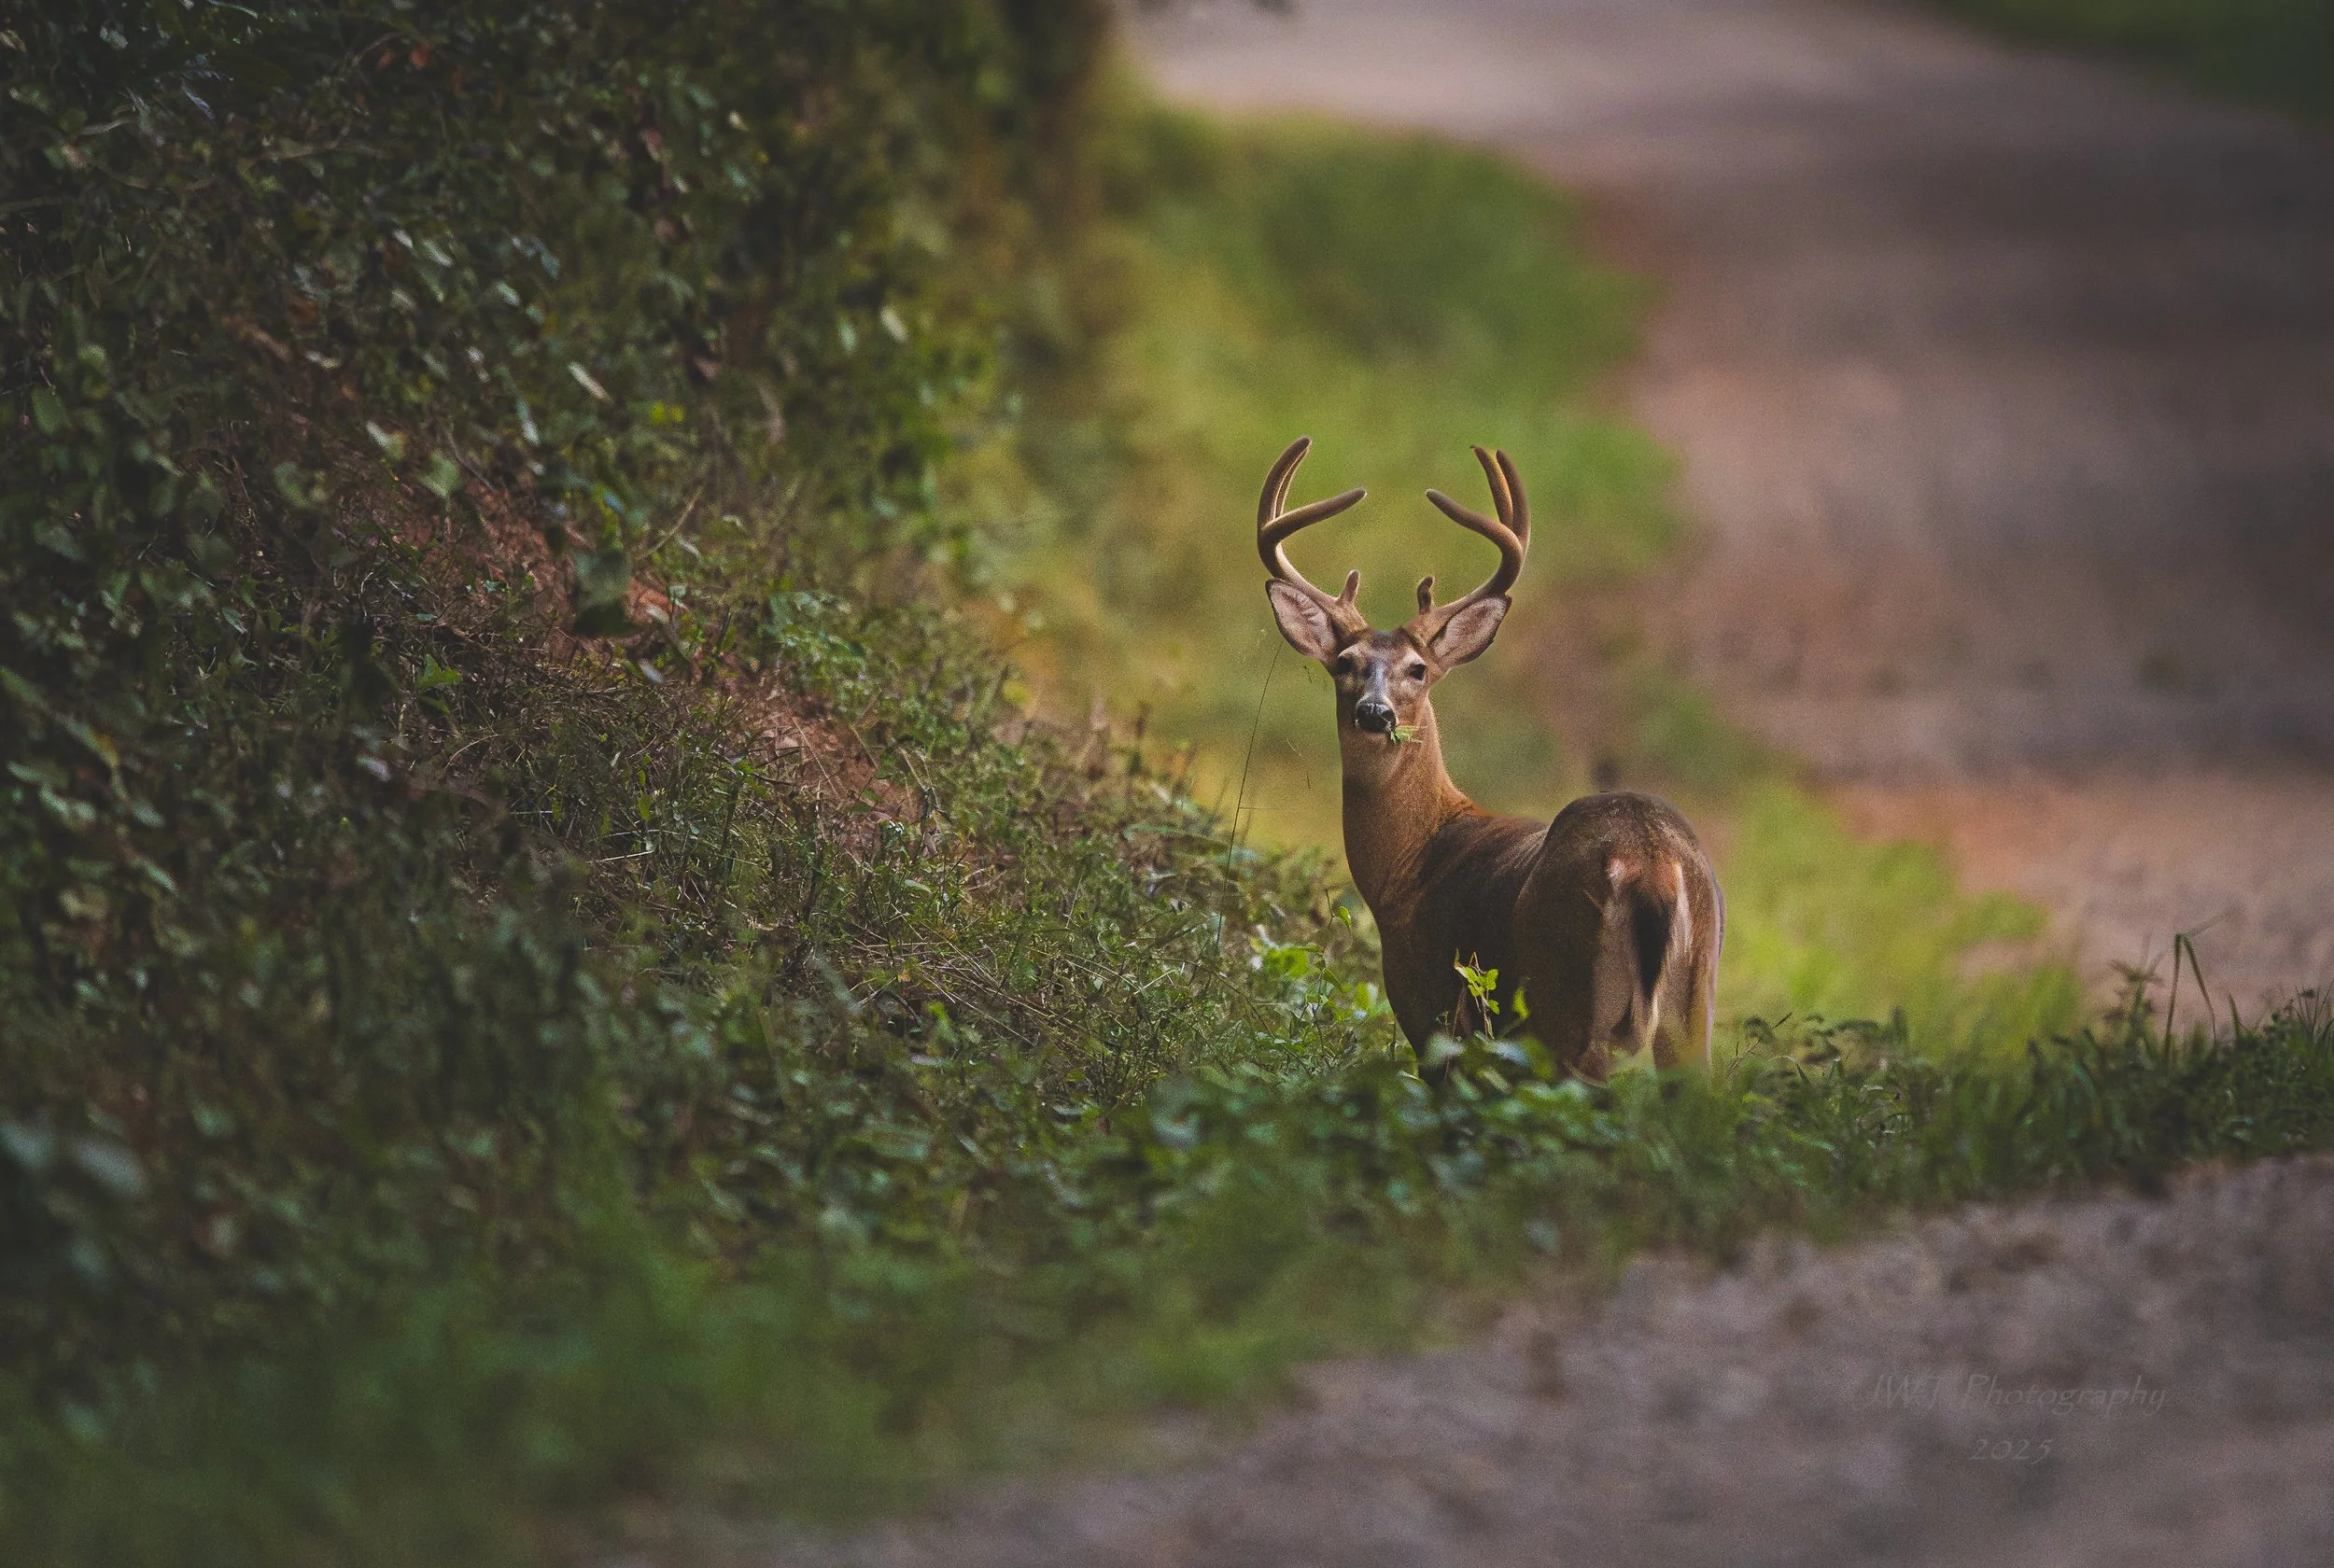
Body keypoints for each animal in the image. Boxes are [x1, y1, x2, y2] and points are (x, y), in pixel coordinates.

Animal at [1257, 436, 1724, 1079]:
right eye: (1345, 662)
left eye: (1418, 669)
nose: (1375, 713)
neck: (1412, 860)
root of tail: (1653, 865)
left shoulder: (1429, 1005)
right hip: (1691, 1010)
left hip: (1566, 1005)